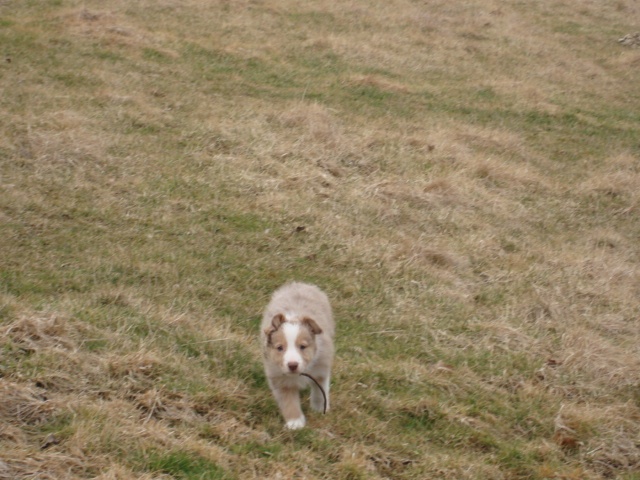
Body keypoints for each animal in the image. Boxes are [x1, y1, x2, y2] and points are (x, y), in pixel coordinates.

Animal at [261, 282, 334, 429]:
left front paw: (320, 409)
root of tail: (301, 284)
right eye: (280, 348)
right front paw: (295, 423)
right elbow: (288, 401)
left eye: (302, 347)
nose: (293, 365)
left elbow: (320, 390)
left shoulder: (321, 368)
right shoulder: (279, 378)